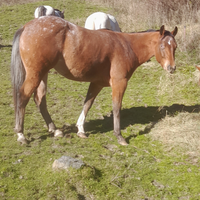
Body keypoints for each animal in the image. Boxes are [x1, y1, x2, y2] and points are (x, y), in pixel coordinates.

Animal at [10, 16, 177, 145]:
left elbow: (87, 104)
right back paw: (21, 134)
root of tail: (26, 27)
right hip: (35, 74)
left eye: (175, 47)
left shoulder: (97, 84)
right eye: (162, 46)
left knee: (40, 99)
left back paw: (54, 129)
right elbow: (116, 108)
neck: (127, 46)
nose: (172, 68)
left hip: (43, 75)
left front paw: (80, 130)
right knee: (23, 97)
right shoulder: (119, 83)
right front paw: (119, 136)